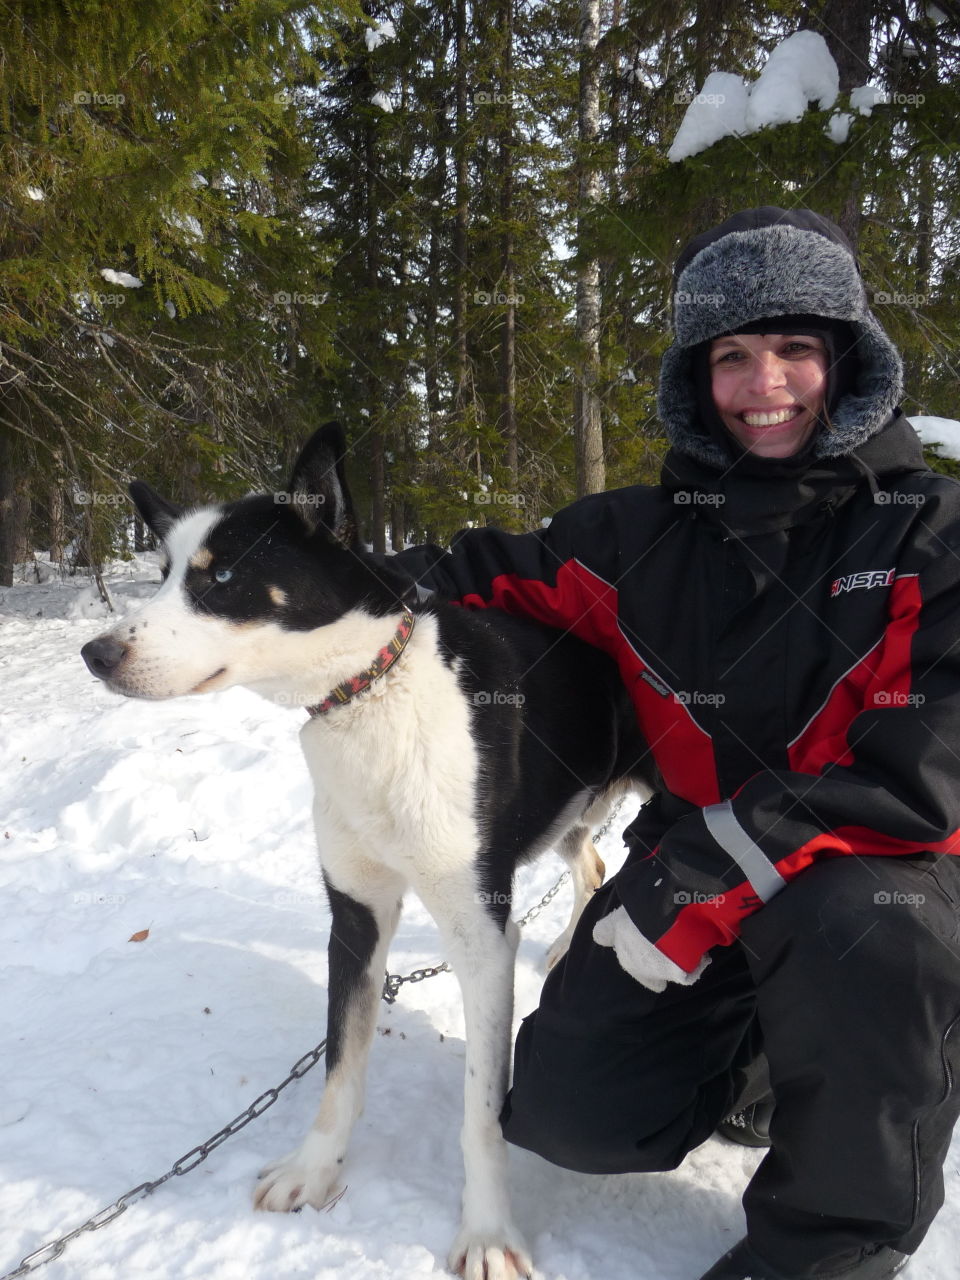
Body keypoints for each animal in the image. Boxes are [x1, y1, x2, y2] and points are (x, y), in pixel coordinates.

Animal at [84, 427, 655, 1280]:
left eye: (222, 575)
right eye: (163, 575)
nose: (95, 652)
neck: (369, 694)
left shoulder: (480, 937)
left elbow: (481, 1114)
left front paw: (486, 1232)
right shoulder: (355, 914)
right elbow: (340, 1067)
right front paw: (314, 1171)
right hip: (564, 816)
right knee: (589, 864)